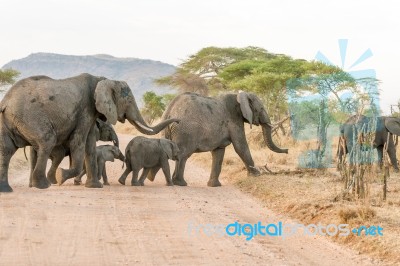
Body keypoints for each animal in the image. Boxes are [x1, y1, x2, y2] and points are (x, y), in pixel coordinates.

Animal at [0, 74, 178, 192]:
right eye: (128, 100)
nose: (177, 121)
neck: (103, 80)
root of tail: (5, 102)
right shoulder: (85, 109)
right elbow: (78, 142)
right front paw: (62, 176)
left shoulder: (91, 112)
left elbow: (90, 145)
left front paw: (94, 186)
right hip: (30, 117)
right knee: (47, 141)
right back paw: (43, 186)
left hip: (9, 120)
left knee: (6, 150)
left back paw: (6, 189)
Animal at [161, 91, 290, 187]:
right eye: (261, 108)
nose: (287, 150)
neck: (238, 96)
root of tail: (170, 110)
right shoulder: (234, 120)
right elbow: (241, 147)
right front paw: (257, 174)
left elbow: (219, 152)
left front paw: (214, 185)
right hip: (185, 131)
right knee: (183, 155)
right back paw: (181, 183)